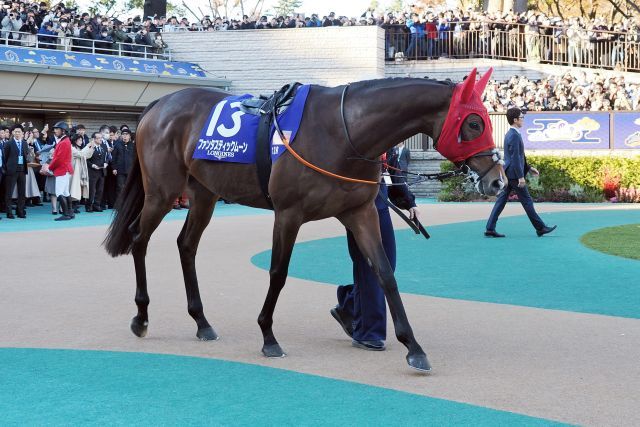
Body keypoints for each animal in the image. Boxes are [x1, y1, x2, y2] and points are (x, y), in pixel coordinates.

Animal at [105, 67, 504, 372]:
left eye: (485, 120)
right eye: (473, 123)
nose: (498, 180)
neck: (341, 130)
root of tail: (159, 104)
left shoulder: (360, 212)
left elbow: (384, 274)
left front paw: (413, 348)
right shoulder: (288, 213)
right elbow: (278, 273)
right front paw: (268, 335)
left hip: (204, 193)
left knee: (186, 245)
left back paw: (202, 322)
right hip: (162, 192)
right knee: (139, 239)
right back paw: (141, 317)